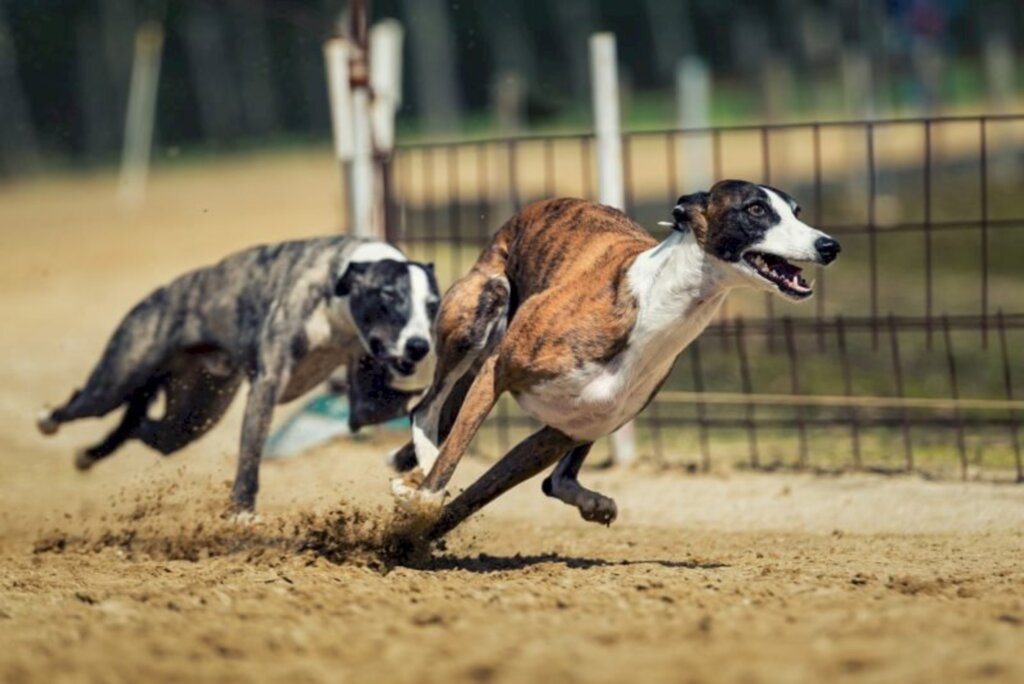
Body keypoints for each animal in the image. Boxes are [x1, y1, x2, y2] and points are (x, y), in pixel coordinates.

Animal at [35, 237, 436, 509]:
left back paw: (89, 455)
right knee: (85, 404)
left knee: (141, 425)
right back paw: (48, 420)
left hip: (192, 417)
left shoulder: (364, 403)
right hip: (118, 378)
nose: (420, 346)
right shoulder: (267, 385)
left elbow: (399, 406)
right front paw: (242, 512)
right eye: (389, 295)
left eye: (432, 305)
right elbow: (250, 453)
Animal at [391, 179, 839, 536]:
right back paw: (420, 467)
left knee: (554, 481)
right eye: (756, 209)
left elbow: (474, 499)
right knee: (426, 408)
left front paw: (409, 545)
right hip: (481, 310)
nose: (829, 246)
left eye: (796, 211)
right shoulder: (495, 372)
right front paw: (419, 506)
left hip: (591, 415)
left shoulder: (560, 433)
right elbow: (450, 461)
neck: (654, 306)